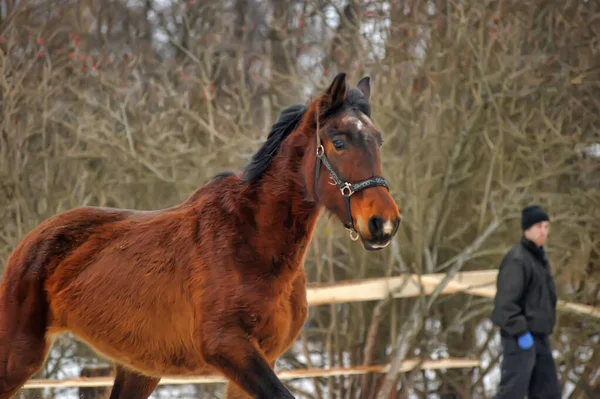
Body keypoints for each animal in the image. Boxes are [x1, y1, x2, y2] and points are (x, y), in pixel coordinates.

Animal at [1, 73, 404, 398]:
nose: (383, 223)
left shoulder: (261, 359)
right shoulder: (229, 348)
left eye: (378, 140)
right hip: (18, 355)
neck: (251, 242)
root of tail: (28, 244)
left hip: (138, 370)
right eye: (338, 140)